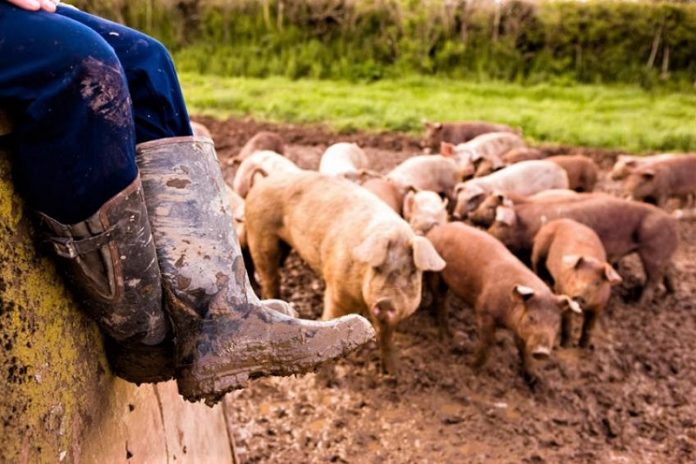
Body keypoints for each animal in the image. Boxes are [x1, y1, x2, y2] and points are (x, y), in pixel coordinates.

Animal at [246, 171, 446, 374]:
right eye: (377, 268)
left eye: (412, 272)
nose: (385, 302)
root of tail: (264, 181)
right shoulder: (336, 292)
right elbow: (330, 321)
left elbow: (386, 337)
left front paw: (396, 373)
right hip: (259, 233)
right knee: (269, 275)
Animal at [424, 223, 580, 382]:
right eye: (531, 318)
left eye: (556, 322)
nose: (542, 352)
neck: (507, 320)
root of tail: (437, 229)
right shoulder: (484, 311)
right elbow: (488, 341)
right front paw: (471, 366)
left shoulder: (519, 327)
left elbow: (523, 348)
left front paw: (535, 378)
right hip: (436, 271)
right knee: (440, 299)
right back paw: (445, 338)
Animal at [486, 195, 676, 306]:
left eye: (500, 224)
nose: (487, 232)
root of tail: (671, 220)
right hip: (664, 253)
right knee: (669, 271)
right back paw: (670, 293)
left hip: (654, 250)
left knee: (653, 278)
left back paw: (636, 303)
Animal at [532, 220, 624, 348]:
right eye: (577, 276)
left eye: (597, 283)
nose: (579, 296)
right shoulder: (564, 293)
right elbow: (567, 323)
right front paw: (564, 346)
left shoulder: (599, 306)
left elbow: (589, 327)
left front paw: (584, 347)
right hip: (539, 248)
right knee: (536, 266)